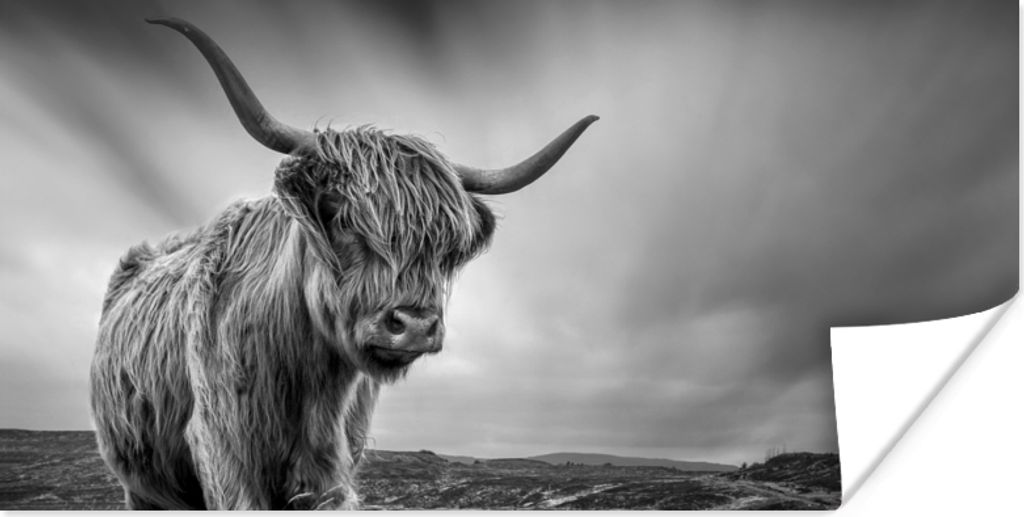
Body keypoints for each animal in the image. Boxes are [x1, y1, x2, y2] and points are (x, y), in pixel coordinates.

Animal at [88, 17, 597, 511]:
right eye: (338, 213)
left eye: (446, 244)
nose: (415, 325)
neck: (308, 382)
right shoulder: (223, 450)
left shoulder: (333, 469)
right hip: (141, 485)